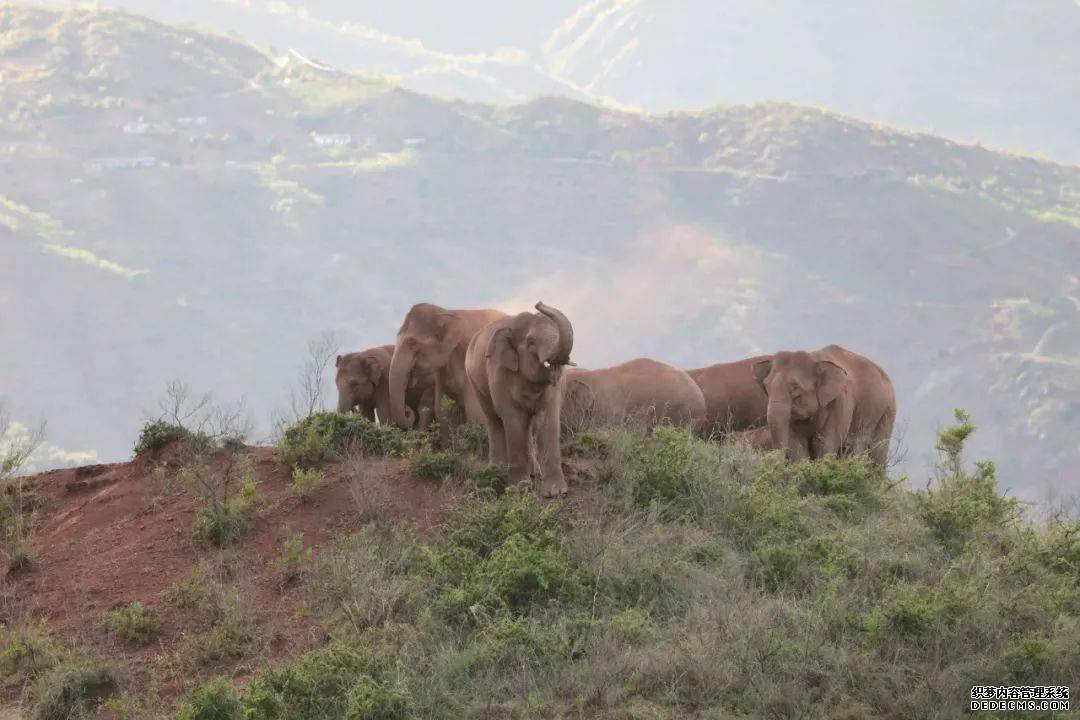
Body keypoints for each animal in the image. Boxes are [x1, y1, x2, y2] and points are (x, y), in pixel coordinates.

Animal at [468, 302, 578, 498]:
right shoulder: (499, 373)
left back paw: (533, 472)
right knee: (494, 421)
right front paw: (520, 488)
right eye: (531, 343)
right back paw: (497, 470)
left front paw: (556, 492)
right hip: (475, 383)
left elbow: (549, 420)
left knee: (530, 425)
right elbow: (513, 420)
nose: (539, 303)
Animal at [751, 345, 894, 468]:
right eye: (766, 386)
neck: (814, 358)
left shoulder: (840, 400)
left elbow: (825, 443)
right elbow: (796, 445)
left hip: (888, 411)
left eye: (796, 387)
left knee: (877, 452)